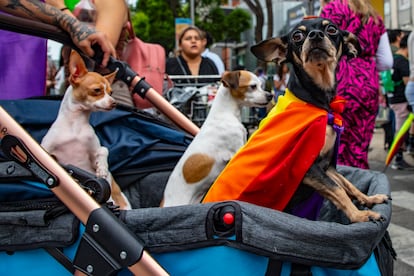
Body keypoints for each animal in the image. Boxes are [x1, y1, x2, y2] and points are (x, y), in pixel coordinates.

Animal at [40, 50, 130, 209]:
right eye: (97, 90)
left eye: (111, 92)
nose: (114, 103)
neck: (75, 125)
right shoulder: (46, 148)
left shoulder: (94, 153)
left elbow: (103, 150)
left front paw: (102, 168)